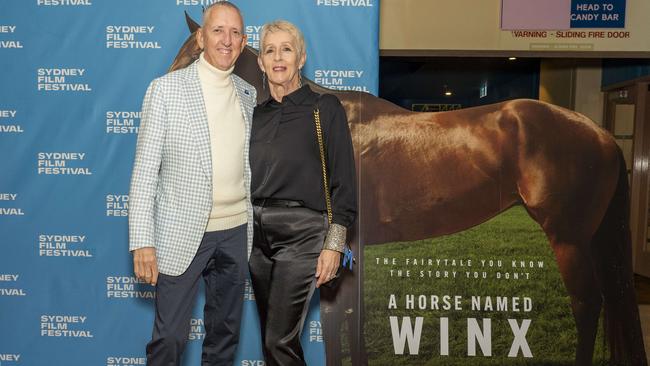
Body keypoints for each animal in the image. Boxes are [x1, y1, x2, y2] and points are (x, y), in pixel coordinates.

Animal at [171, 12, 644, 364]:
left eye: (197, 53)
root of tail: (599, 133)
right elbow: (351, 317)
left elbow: (337, 316)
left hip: (568, 238)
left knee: (587, 304)